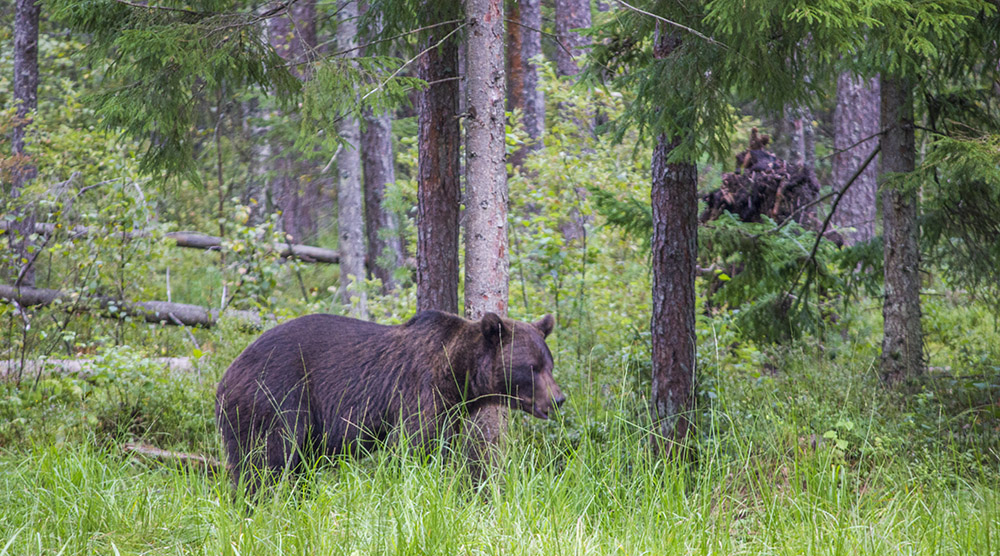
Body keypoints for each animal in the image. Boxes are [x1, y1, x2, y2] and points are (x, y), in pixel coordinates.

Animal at [215, 309, 564, 493]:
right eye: (531, 368)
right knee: (266, 460)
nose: (558, 399)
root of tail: (226, 375)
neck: (457, 375)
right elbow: (415, 448)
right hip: (275, 397)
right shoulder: (419, 393)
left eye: (549, 364)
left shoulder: (450, 412)